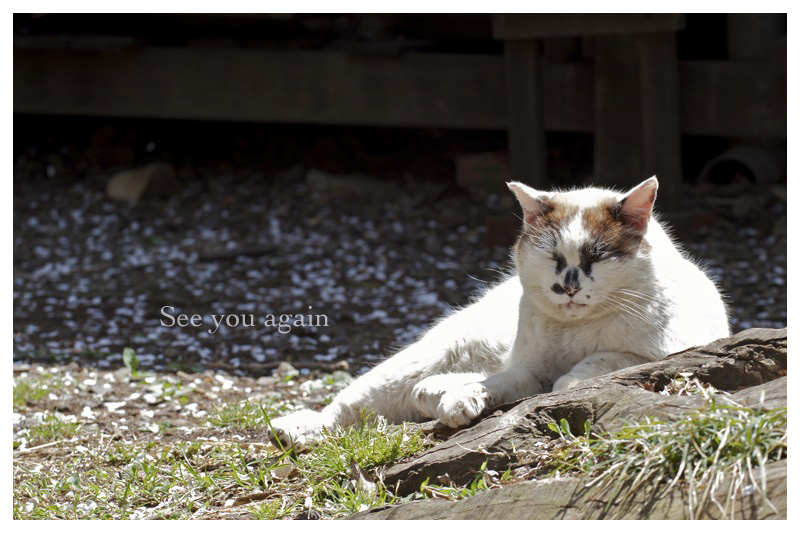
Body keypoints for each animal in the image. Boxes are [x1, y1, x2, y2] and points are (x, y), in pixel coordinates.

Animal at [270, 178, 732, 448]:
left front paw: (570, 383)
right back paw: (296, 429)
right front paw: (464, 399)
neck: (573, 331)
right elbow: (497, 383)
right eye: (552, 257)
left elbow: (597, 363)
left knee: (424, 391)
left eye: (597, 257)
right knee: (346, 409)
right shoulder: (526, 372)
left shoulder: (662, 355)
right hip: (420, 360)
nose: (567, 286)